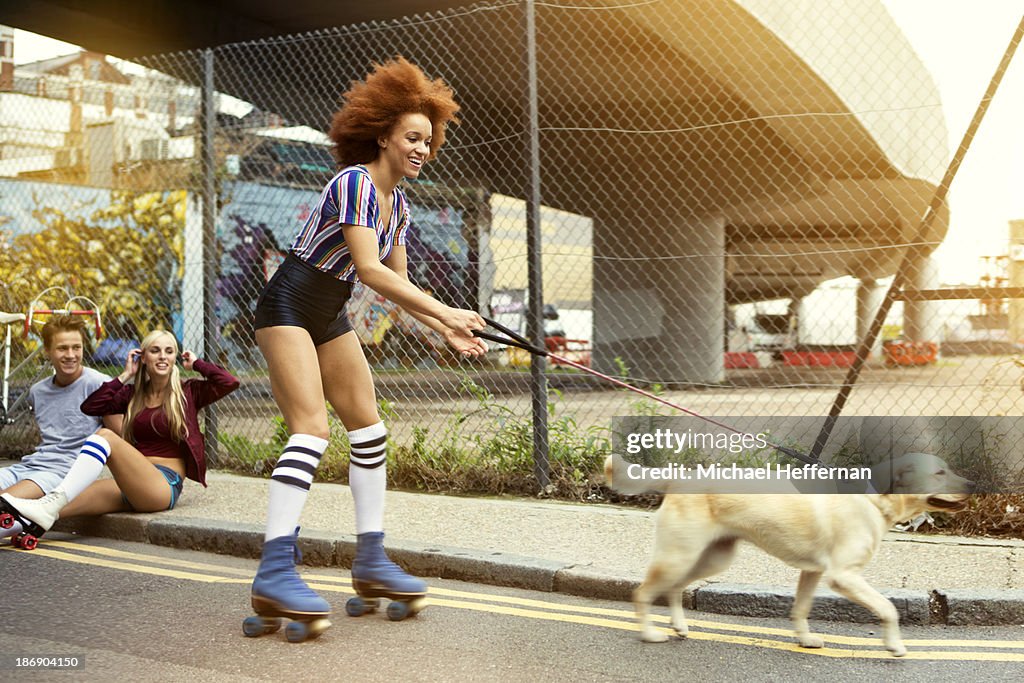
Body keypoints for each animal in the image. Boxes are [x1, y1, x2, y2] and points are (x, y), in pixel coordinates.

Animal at [606, 454, 974, 655]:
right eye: (940, 472)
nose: (973, 484)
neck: (875, 500)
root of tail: (678, 477)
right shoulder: (843, 576)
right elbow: (888, 609)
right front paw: (894, 645)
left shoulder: (813, 572)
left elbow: (800, 609)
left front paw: (805, 638)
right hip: (679, 556)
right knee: (643, 592)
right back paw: (650, 633)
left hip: (710, 558)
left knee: (675, 589)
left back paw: (680, 626)